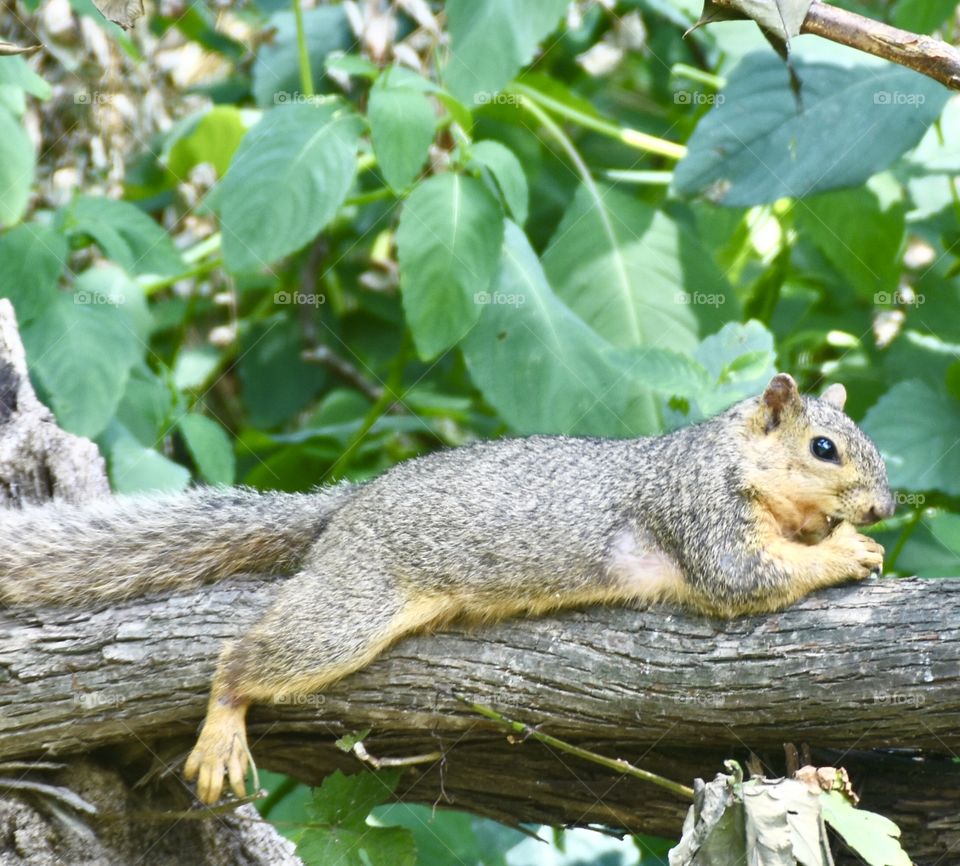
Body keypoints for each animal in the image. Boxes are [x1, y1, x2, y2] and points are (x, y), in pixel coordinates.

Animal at [3, 372, 896, 804]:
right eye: (823, 448)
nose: (885, 505)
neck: (728, 456)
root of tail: (345, 511)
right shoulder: (700, 514)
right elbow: (742, 577)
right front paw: (847, 548)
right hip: (351, 608)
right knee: (245, 660)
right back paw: (225, 724)